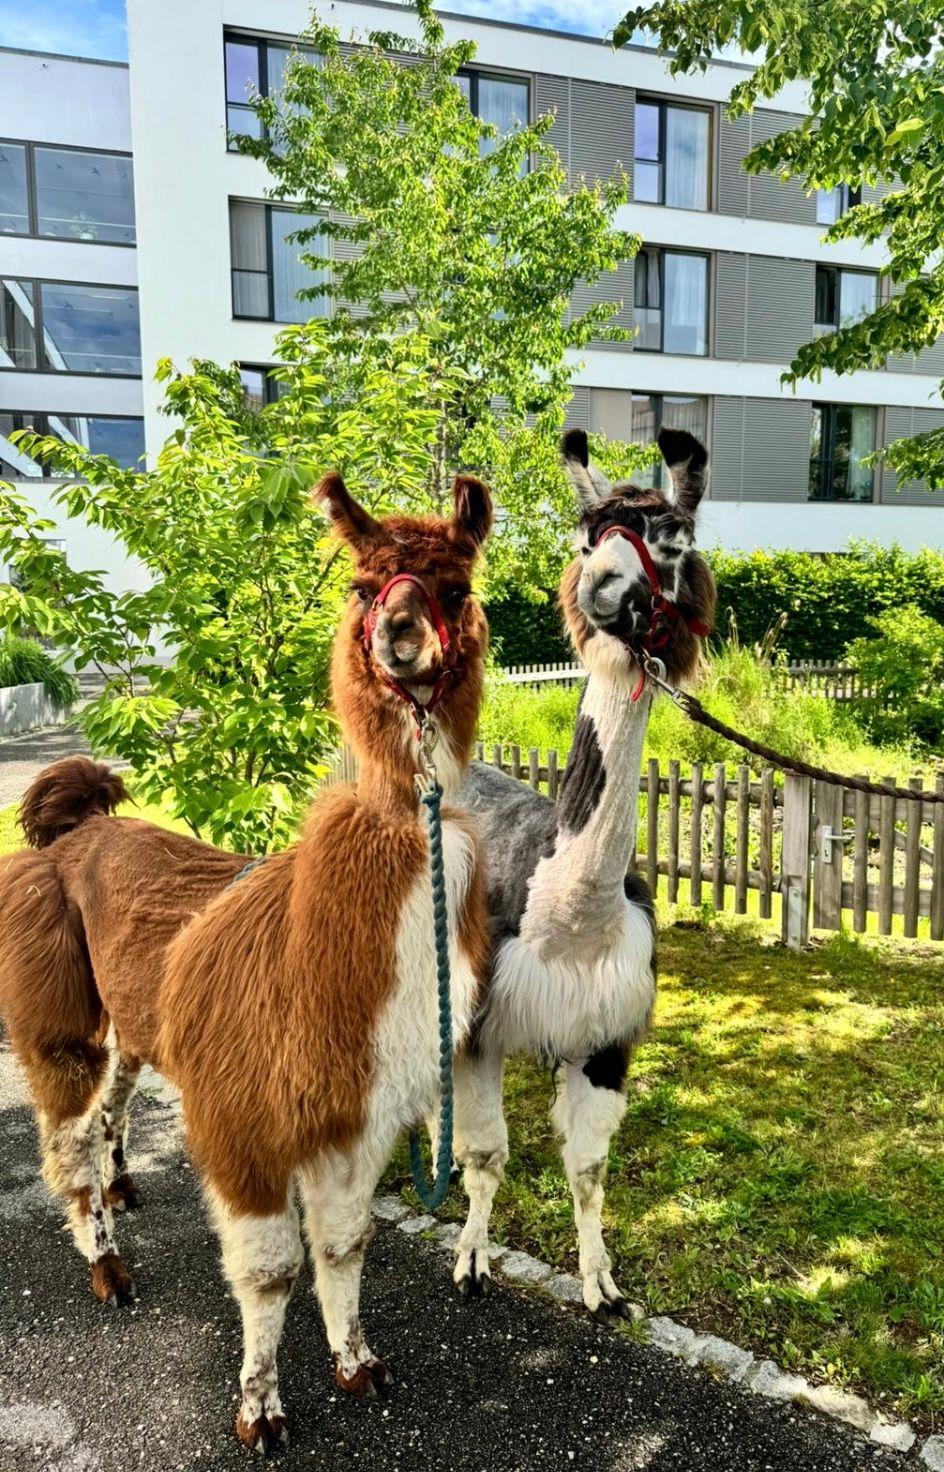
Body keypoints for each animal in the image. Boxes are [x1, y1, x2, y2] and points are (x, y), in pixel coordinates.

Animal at [0, 468, 493, 1452]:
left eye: (455, 587)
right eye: (363, 587)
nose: (401, 632)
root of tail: (80, 825)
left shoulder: (355, 1116)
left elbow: (342, 1244)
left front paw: (358, 1364)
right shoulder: (245, 1115)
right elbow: (269, 1270)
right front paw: (259, 1409)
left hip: (140, 1013)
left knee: (109, 1103)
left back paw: (124, 1187)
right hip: (52, 991)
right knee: (67, 1131)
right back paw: (107, 1264)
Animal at [450, 427, 716, 1317]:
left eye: (672, 538)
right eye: (586, 538)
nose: (601, 588)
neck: (571, 911)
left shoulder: (605, 1034)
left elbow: (590, 1172)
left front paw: (602, 1283)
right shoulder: (482, 1019)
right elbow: (487, 1157)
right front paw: (471, 1258)